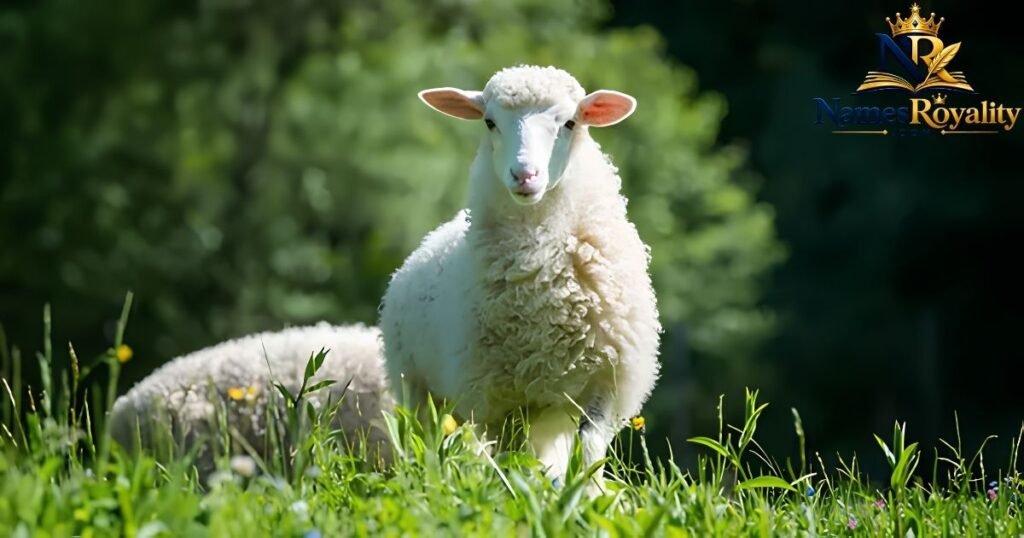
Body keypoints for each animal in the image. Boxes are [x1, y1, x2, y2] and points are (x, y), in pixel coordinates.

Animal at [380, 65, 661, 484]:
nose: (524, 175)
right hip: (418, 392)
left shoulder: (605, 383)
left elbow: (589, 452)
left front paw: (586, 494)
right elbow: (503, 464)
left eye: (570, 122)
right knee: (429, 444)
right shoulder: (493, 398)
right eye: (490, 122)